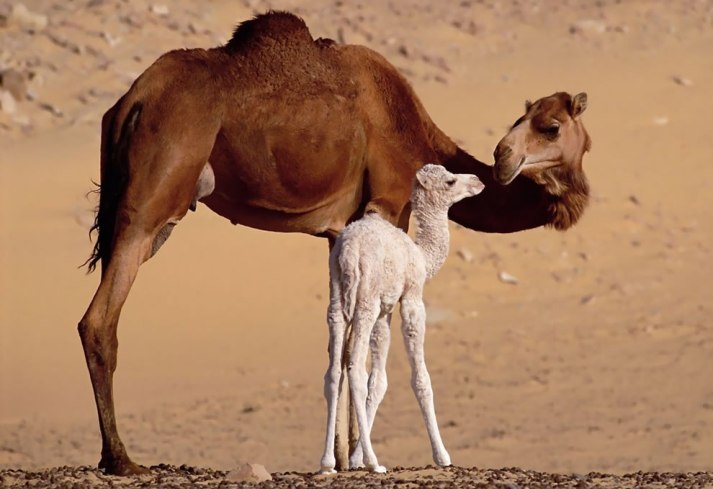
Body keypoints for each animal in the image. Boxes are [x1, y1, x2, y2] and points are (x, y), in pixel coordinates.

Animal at [322, 164, 484, 472]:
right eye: (450, 181)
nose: (478, 181)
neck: (421, 255)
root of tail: (349, 251)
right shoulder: (411, 298)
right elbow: (421, 379)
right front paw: (442, 456)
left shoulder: (385, 311)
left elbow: (379, 382)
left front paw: (355, 459)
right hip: (365, 300)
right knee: (355, 369)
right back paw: (375, 463)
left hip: (337, 298)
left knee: (334, 371)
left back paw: (326, 462)